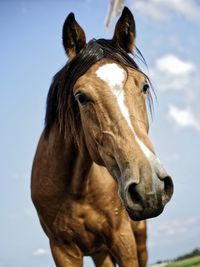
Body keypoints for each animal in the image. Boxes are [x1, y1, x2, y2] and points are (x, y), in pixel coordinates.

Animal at [30, 6, 173, 267]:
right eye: (81, 96)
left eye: (144, 86)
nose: (150, 188)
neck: (76, 190)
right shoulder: (62, 250)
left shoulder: (122, 238)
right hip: (99, 251)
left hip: (138, 238)